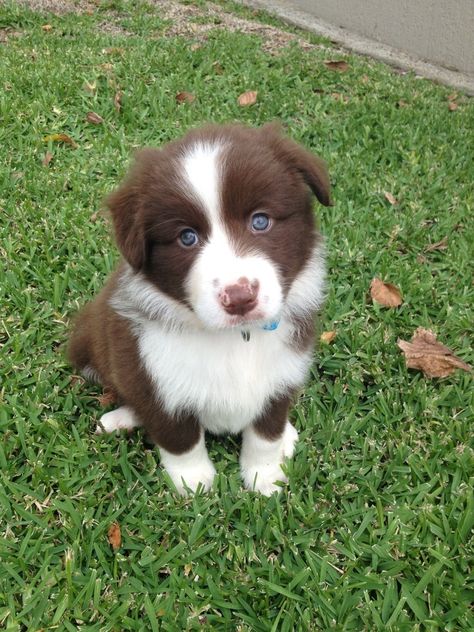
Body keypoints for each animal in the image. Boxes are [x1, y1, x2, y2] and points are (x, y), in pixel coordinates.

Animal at [68, 123, 332, 496]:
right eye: (187, 237)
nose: (240, 297)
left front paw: (265, 476)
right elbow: (179, 437)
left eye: (260, 221)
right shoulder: (153, 374)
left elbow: (265, 433)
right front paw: (193, 483)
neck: (236, 337)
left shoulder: (283, 374)